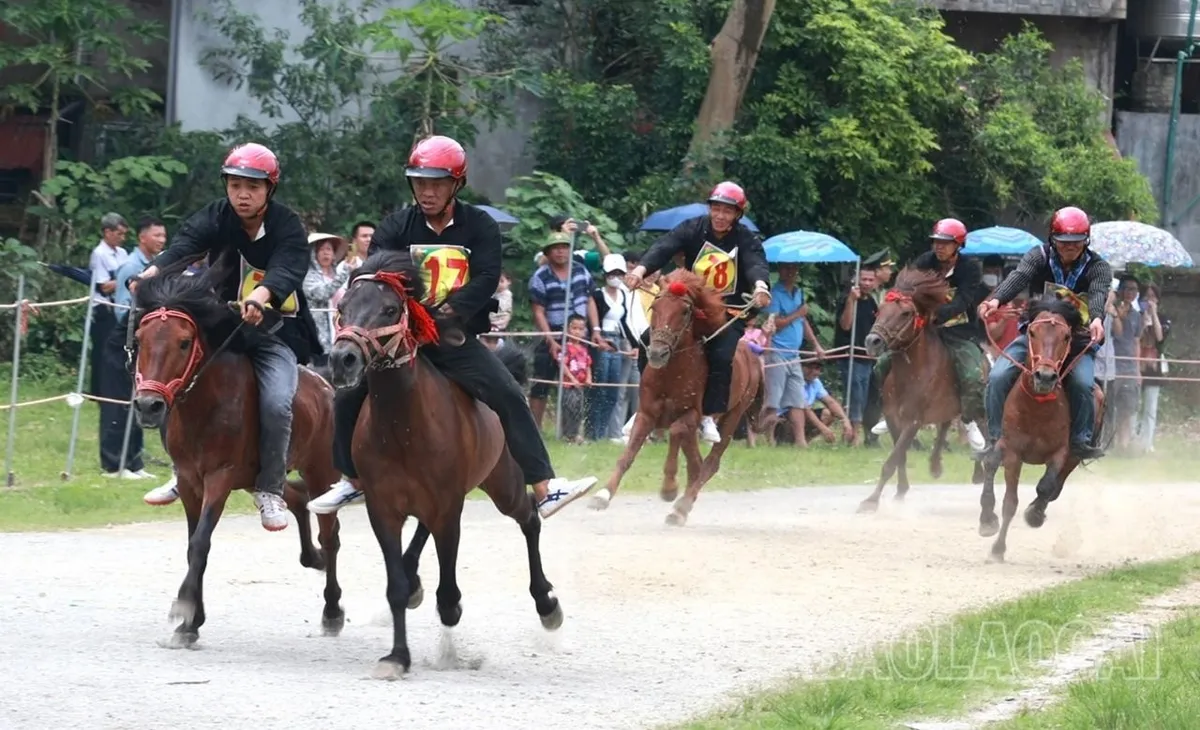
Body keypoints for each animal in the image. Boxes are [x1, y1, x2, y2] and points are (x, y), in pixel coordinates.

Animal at [132, 252, 348, 648]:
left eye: (184, 342)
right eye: (140, 338)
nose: (149, 406)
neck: (207, 405)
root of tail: (326, 386)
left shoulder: (220, 477)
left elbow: (201, 543)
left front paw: (185, 613)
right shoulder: (190, 480)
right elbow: (193, 544)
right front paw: (192, 620)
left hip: (321, 470)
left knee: (330, 533)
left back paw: (332, 610)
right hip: (257, 478)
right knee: (296, 498)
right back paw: (310, 555)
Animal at [324, 250, 556, 677]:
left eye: (389, 309)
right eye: (343, 308)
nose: (342, 359)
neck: (403, 426)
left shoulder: (449, 505)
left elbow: (448, 593)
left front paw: (448, 611)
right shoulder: (384, 508)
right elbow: (396, 586)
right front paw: (397, 656)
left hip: (505, 485)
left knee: (530, 518)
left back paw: (547, 605)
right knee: (422, 535)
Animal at [588, 267, 758, 523]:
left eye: (685, 311)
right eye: (654, 307)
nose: (657, 353)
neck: (671, 372)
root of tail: (753, 354)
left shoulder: (691, 414)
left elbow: (677, 431)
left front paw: (669, 489)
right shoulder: (646, 413)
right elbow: (628, 454)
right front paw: (603, 495)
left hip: (734, 415)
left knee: (710, 463)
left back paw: (682, 507)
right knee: (697, 463)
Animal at [859, 265, 988, 511]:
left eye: (905, 313)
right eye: (879, 310)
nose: (872, 341)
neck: (911, 373)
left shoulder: (914, 420)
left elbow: (891, 461)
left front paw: (870, 501)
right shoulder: (892, 417)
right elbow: (899, 456)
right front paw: (901, 491)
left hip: (978, 401)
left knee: (985, 433)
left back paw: (979, 470)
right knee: (945, 426)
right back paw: (936, 464)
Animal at [974, 296, 1104, 564]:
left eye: (1067, 336)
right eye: (1032, 332)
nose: (1045, 376)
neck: (1036, 407)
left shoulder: (1061, 453)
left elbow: (1046, 487)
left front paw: (1034, 514)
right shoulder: (1013, 453)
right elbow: (1009, 503)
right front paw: (997, 549)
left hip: (1074, 456)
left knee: (1054, 488)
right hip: (1000, 444)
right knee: (990, 464)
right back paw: (987, 519)